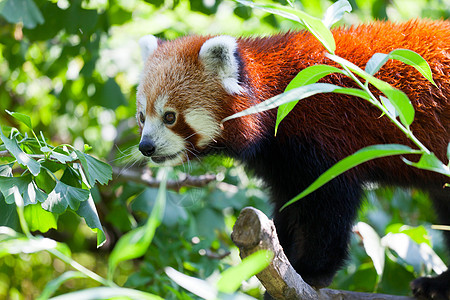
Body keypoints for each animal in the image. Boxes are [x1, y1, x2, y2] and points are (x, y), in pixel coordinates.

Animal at [136, 19, 450, 298]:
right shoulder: (281, 162)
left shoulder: (324, 134)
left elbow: (327, 209)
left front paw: (311, 271)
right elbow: (288, 205)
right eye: (142, 117)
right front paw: (277, 259)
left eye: (170, 116)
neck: (278, 97)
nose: (145, 146)